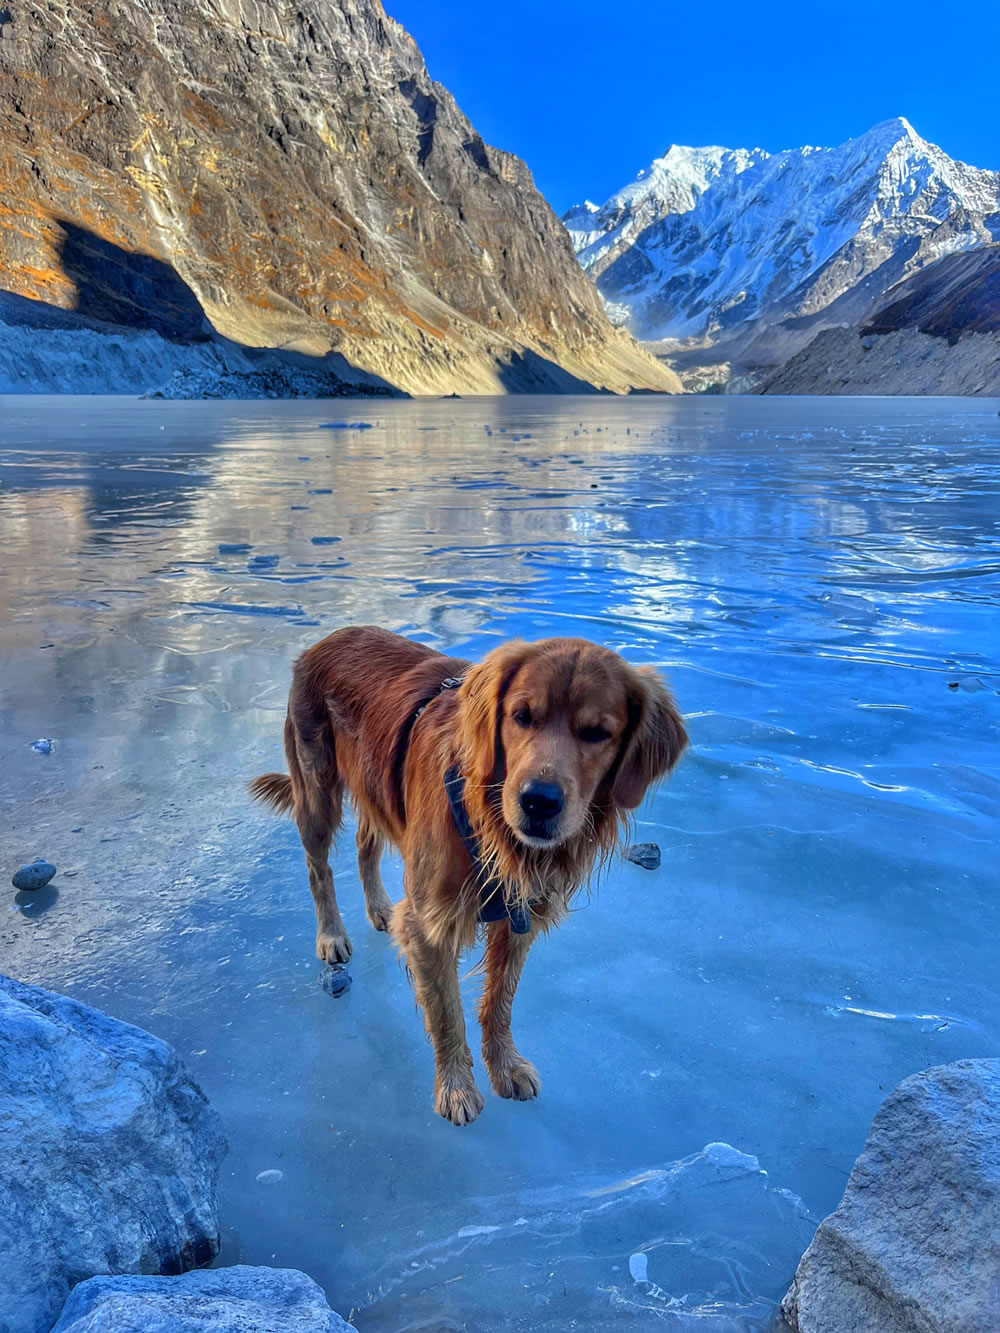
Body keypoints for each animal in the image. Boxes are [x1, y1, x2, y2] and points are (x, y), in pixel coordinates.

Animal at [250, 626, 688, 1125]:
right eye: (521, 716)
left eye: (598, 734)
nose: (539, 801)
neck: (493, 825)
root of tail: (328, 638)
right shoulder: (430, 922)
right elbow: (446, 1012)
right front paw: (456, 1089)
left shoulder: (521, 917)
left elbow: (500, 1000)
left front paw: (505, 1066)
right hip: (316, 790)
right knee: (317, 867)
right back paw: (331, 935)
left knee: (365, 843)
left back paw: (380, 908)